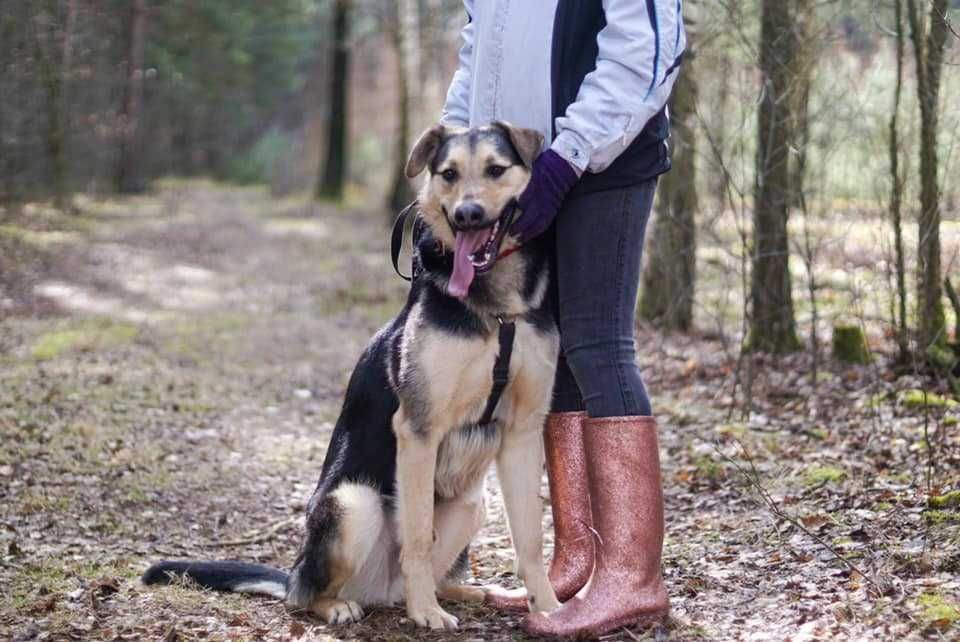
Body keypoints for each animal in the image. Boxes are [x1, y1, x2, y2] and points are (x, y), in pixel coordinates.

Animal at [142, 122, 564, 628]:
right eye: (448, 173)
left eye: (496, 170)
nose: (467, 215)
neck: (497, 311)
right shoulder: (419, 430)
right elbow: (417, 538)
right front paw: (427, 613)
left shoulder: (522, 433)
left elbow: (531, 539)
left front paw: (551, 608)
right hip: (353, 504)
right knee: (309, 596)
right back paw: (356, 603)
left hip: (470, 503)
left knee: (427, 572)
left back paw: (468, 591)